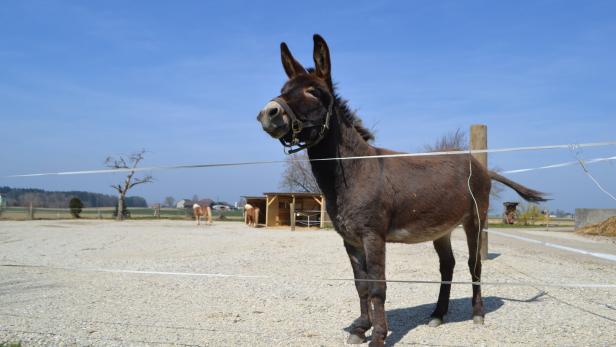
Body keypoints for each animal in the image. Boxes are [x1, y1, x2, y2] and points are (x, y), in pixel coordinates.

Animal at [258, 34, 548, 346]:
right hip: (442, 228)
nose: (268, 113)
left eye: (313, 91)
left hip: (475, 219)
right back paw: (438, 315)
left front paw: (378, 336)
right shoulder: (350, 240)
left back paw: (478, 313)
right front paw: (361, 328)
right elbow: (361, 285)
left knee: (474, 264)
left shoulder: (373, 236)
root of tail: (479, 165)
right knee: (448, 265)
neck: (356, 169)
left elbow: (378, 287)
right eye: (283, 90)